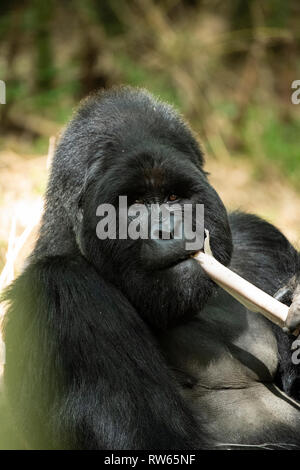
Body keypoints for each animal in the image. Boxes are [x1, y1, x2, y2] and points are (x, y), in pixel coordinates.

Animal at [1, 86, 300, 450]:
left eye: (173, 197)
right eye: (135, 204)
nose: (168, 230)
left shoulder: (261, 242)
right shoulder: (66, 291)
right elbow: (149, 439)